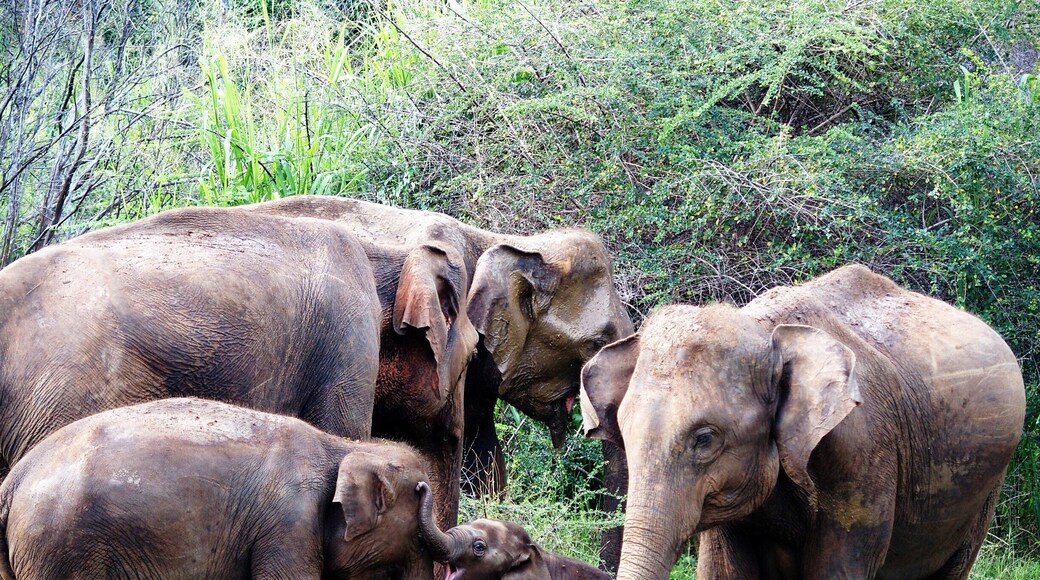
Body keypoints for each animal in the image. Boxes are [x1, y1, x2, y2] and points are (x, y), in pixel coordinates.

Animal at [0, 398, 432, 579]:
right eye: (416, 535)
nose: (425, 488)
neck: (342, 446)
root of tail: (13, 479)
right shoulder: (289, 529)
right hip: (60, 548)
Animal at [580, 264, 1026, 579]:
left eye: (705, 439)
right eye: (625, 434)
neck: (764, 330)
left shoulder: (863, 452)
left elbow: (837, 569)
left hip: (984, 492)